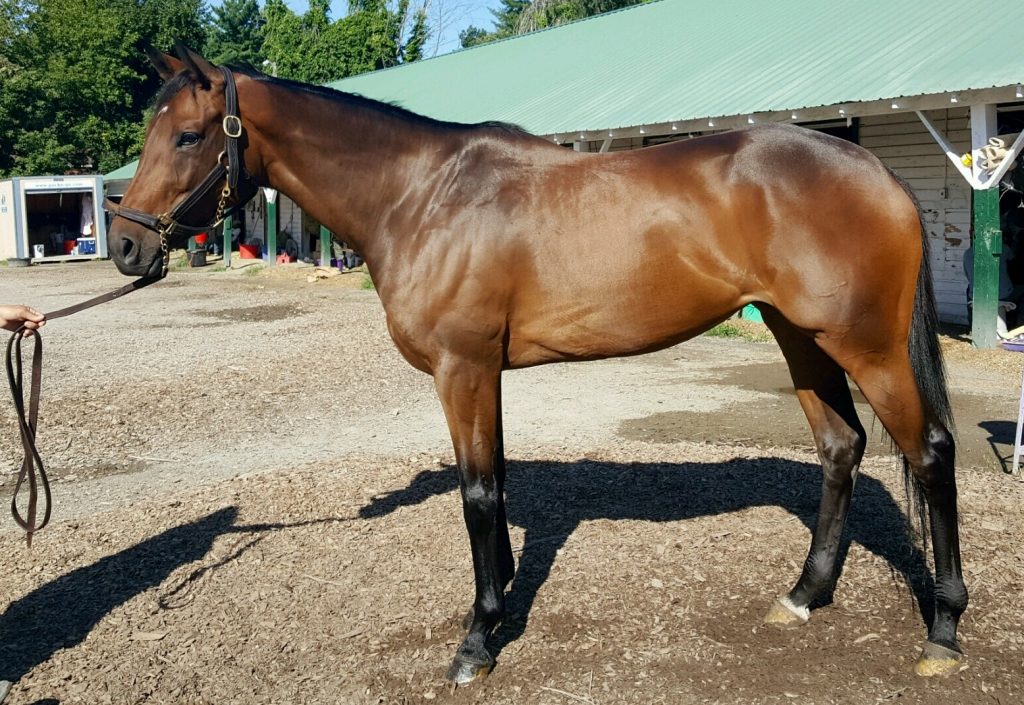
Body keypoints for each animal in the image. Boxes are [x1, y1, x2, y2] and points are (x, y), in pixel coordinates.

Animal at [105, 45, 966, 684]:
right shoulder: (483, 373)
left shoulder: (461, 368)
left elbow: (479, 496)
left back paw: (944, 629)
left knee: (929, 453)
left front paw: (477, 640)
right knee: (841, 448)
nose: (125, 245)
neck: (422, 196)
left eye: (187, 137)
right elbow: (498, 479)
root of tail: (879, 173)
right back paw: (804, 594)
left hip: (867, 347)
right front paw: (504, 594)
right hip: (800, 337)